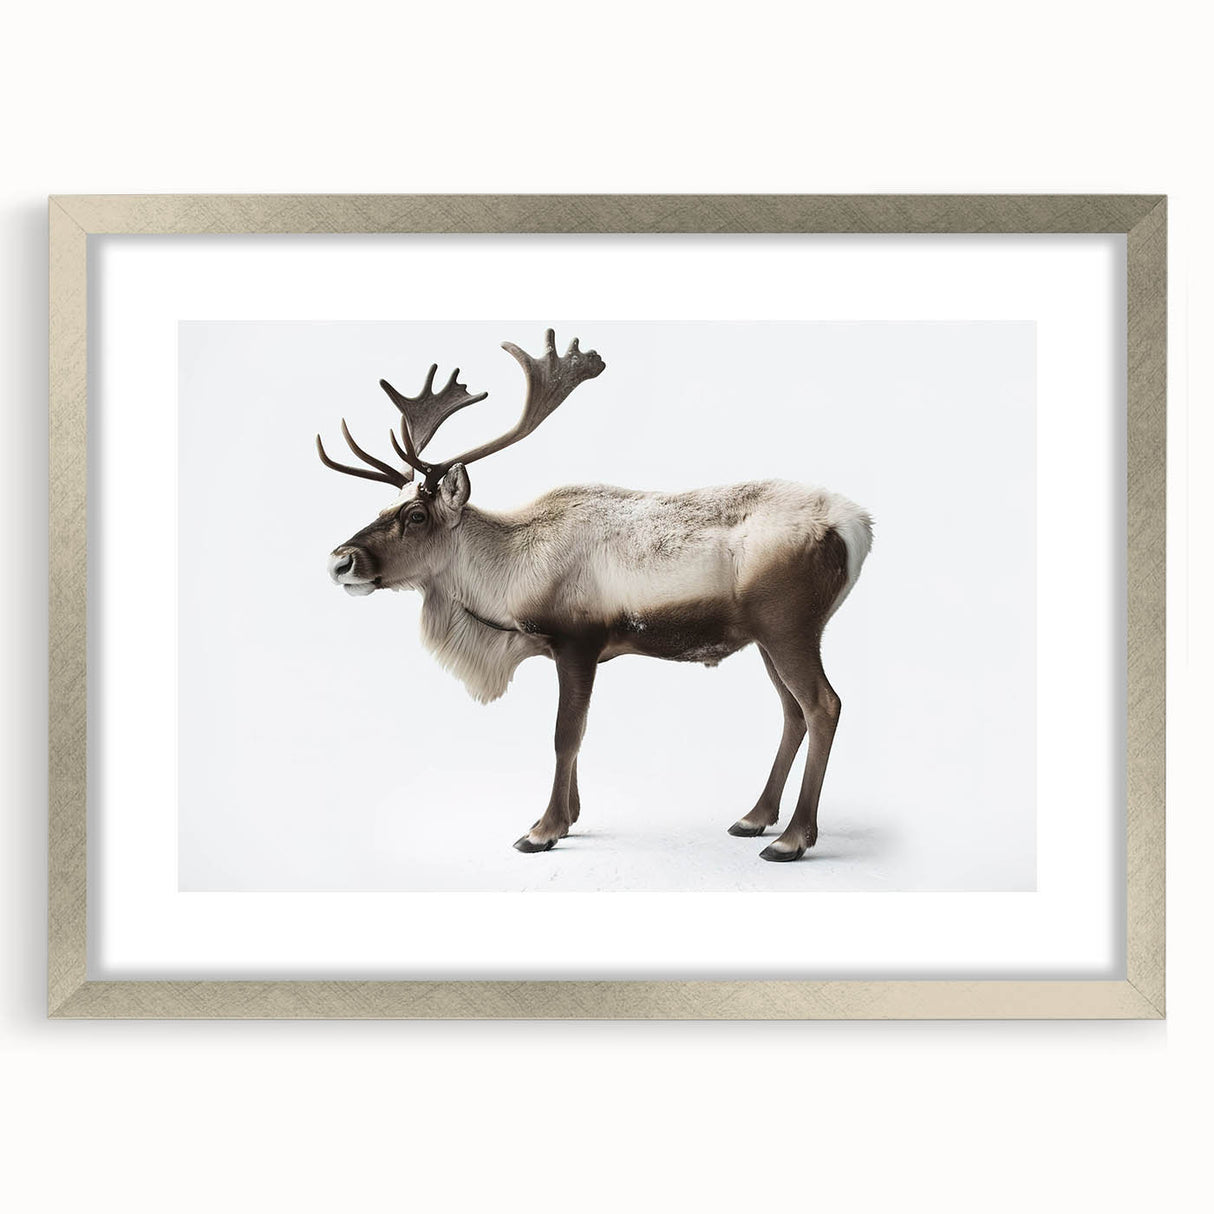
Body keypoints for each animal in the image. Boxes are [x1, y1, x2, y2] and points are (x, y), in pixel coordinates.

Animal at [318, 330, 873, 862]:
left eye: (416, 515)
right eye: (384, 507)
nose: (340, 560)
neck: (508, 575)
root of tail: (858, 526)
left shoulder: (577, 642)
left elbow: (565, 735)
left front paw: (542, 830)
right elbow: (578, 737)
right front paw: (570, 816)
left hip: (789, 626)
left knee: (823, 705)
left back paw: (792, 839)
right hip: (765, 637)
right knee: (792, 712)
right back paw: (755, 817)